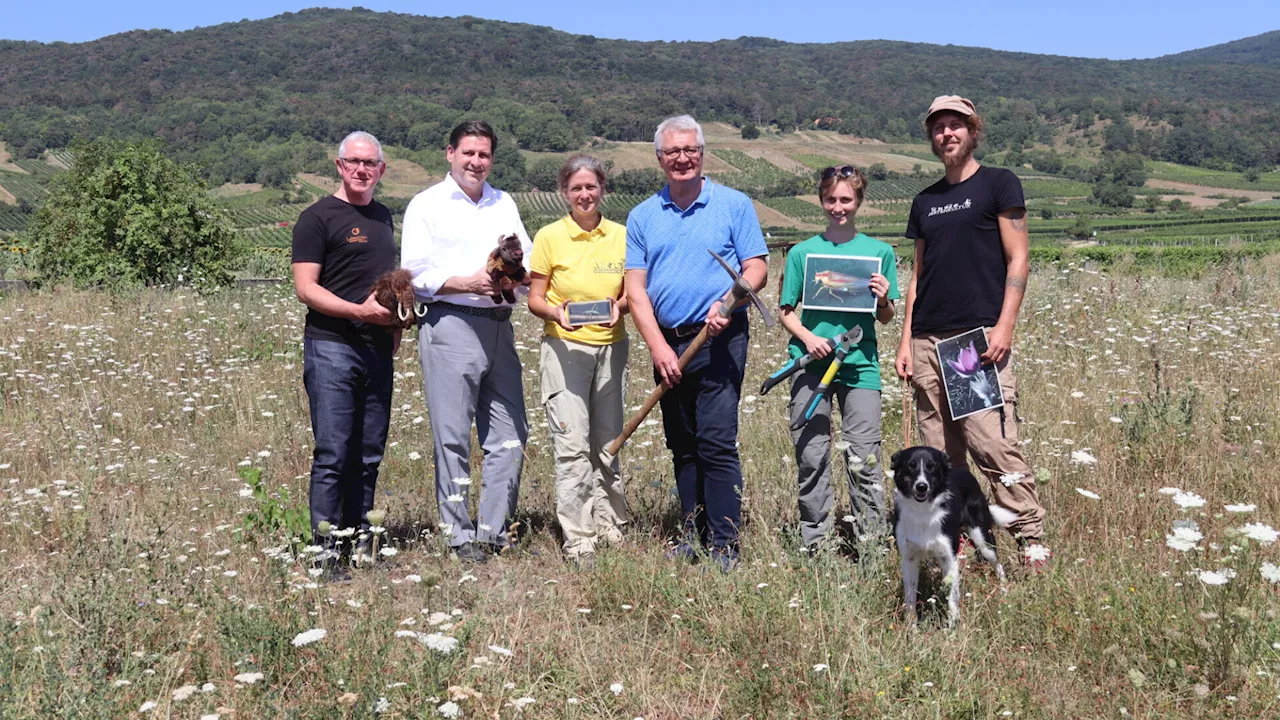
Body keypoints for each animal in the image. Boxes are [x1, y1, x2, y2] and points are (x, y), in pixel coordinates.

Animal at [896, 443, 1013, 622]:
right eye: (910, 466)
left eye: (932, 466)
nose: (922, 486)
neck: (923, 512)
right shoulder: (909, 559)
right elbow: (910, 599)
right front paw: (912, 626)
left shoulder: (949, 557)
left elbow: (952, 597)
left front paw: (952, 625)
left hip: (983, 539)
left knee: (997, 565)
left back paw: (1004, 592)